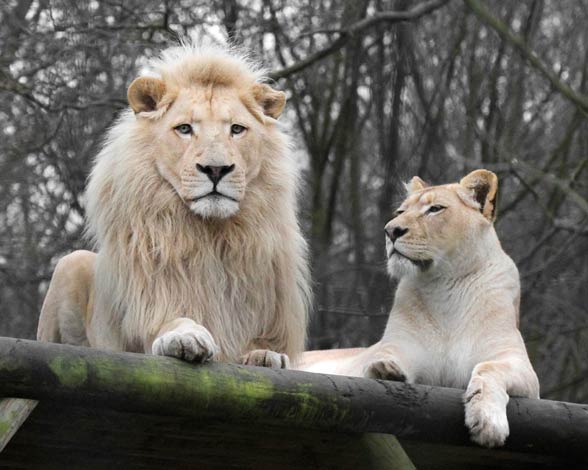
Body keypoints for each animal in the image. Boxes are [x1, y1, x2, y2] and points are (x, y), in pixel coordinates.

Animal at [36, 45, 310, 368]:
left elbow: (258, 344)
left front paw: (264, 355)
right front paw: (185, 337)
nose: (216, 169)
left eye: (237, 129)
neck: (212, 235)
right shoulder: (152, 305)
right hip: (72, 263)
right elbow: (173, 319)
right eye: (184, 128)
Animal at [296, 170, 540, 448]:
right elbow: (382, 359)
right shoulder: (401, 346)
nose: (391, 231)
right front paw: (385, 370)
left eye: (435, 209)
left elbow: (488, 368)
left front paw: (488, 423)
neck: (446, 288)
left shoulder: (519, 365)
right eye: (401, 211)